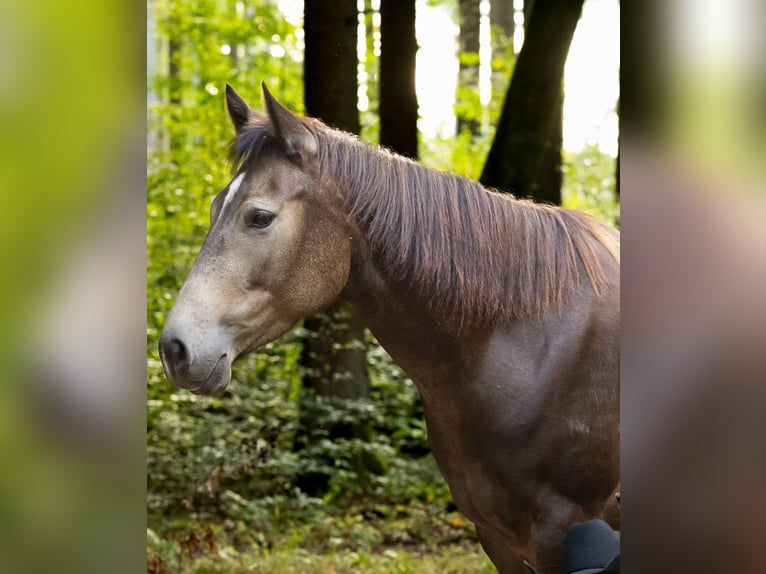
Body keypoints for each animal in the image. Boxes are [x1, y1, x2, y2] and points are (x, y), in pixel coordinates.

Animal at [159, 83, 620, 574]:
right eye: (214, 208)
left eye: (259, 217)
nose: (174, 349)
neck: (524, 347)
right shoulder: (498, 538)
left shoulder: (562, 531)